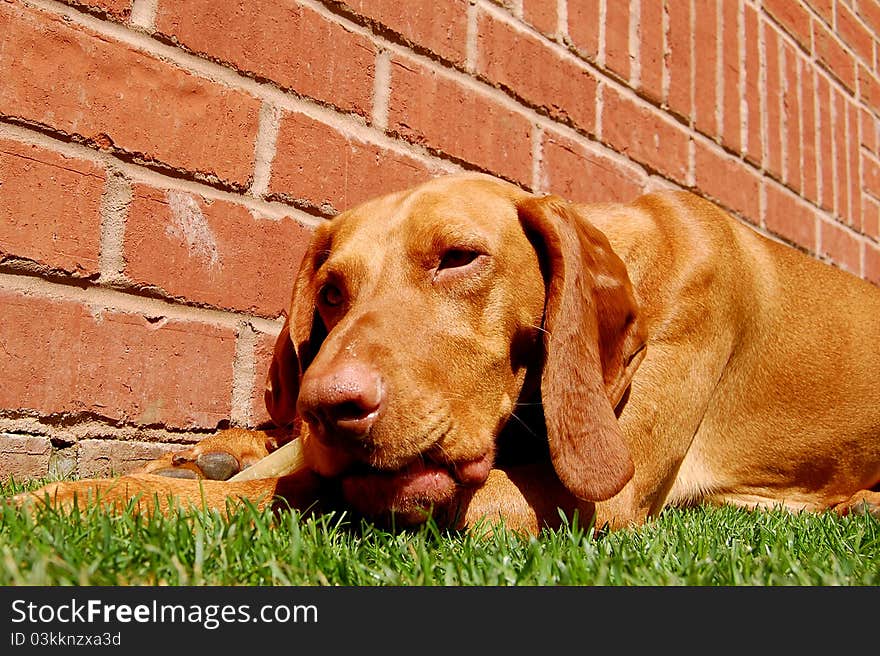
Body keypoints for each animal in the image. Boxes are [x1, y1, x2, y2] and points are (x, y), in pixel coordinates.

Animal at [13, 173, 880, 532]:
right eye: (332, 290)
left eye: (459, 257)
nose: (328, 407)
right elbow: (287, 476)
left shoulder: (592, 498)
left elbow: (297, 493)